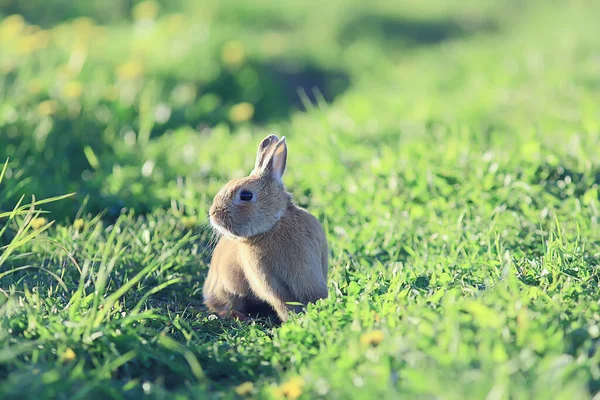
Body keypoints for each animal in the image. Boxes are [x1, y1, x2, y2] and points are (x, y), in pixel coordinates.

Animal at [205, 134, 328, 322]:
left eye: (246, 195)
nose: (213, 214)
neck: (273, 226)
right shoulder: (269, 282)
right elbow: (283, 303)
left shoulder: (307, 273)